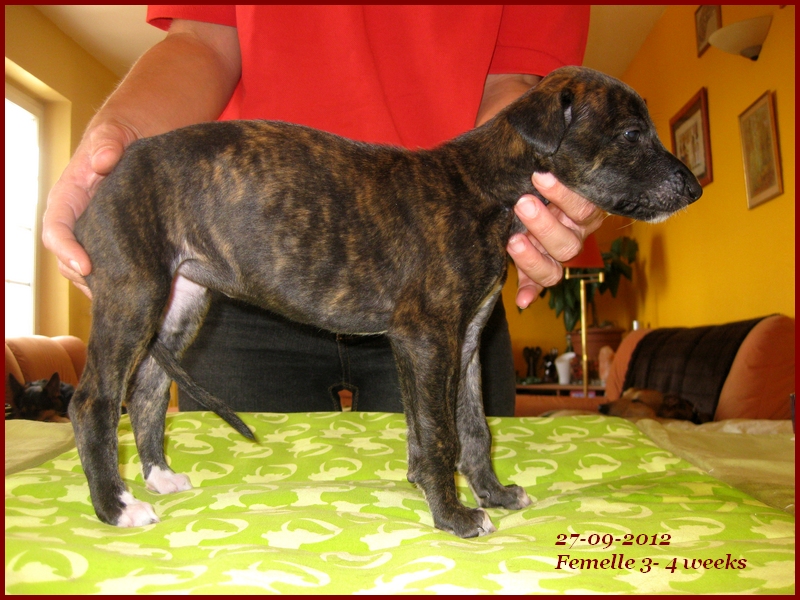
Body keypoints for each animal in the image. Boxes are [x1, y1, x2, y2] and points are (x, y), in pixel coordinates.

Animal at [70, 66, 701, 538]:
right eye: (629, 135)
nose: (695, 189)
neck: (484, 187)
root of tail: (105, 180)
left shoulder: (460, 341)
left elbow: (469, 427)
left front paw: (488, 494)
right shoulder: (427, 336)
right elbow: (442, 432)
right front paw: (455, 516)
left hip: (181, 301)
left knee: (147, 391)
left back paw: (157, 477)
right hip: (134, 293)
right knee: (94, 401)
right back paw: (116, 507)